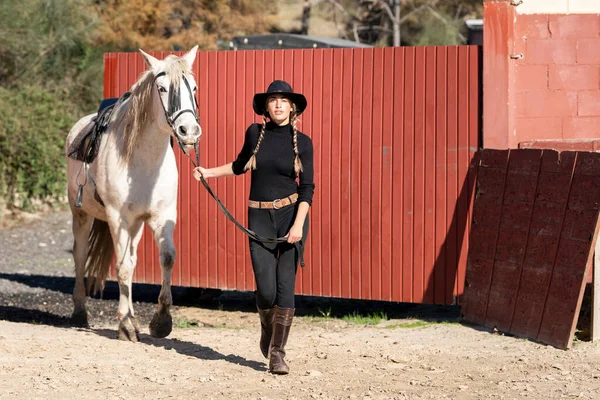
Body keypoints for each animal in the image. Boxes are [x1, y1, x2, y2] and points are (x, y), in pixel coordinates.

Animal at [64, 46, 203, 340]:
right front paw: (126, 325)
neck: (143, 161)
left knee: (130, 257)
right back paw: (80, 312)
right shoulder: (118, 219)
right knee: (81, 255)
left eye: (194, 87)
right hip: (82, 215)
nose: (189, 131)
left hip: (135, 225)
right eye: (162, 88)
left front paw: (161, 321)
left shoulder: (162, 217)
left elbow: (167, 257)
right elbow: (123, 267)